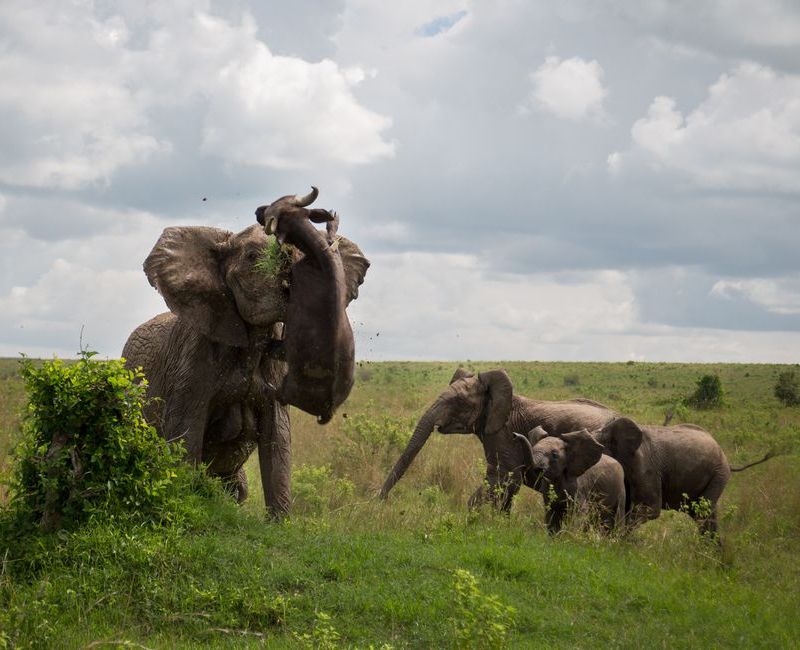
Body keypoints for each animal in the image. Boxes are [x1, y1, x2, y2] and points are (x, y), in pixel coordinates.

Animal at [122, 187, 369, 517]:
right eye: (252, 258)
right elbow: (185, 432)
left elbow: (278, 438)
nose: (264, 211)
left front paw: (279, 523)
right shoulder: (193, 358)